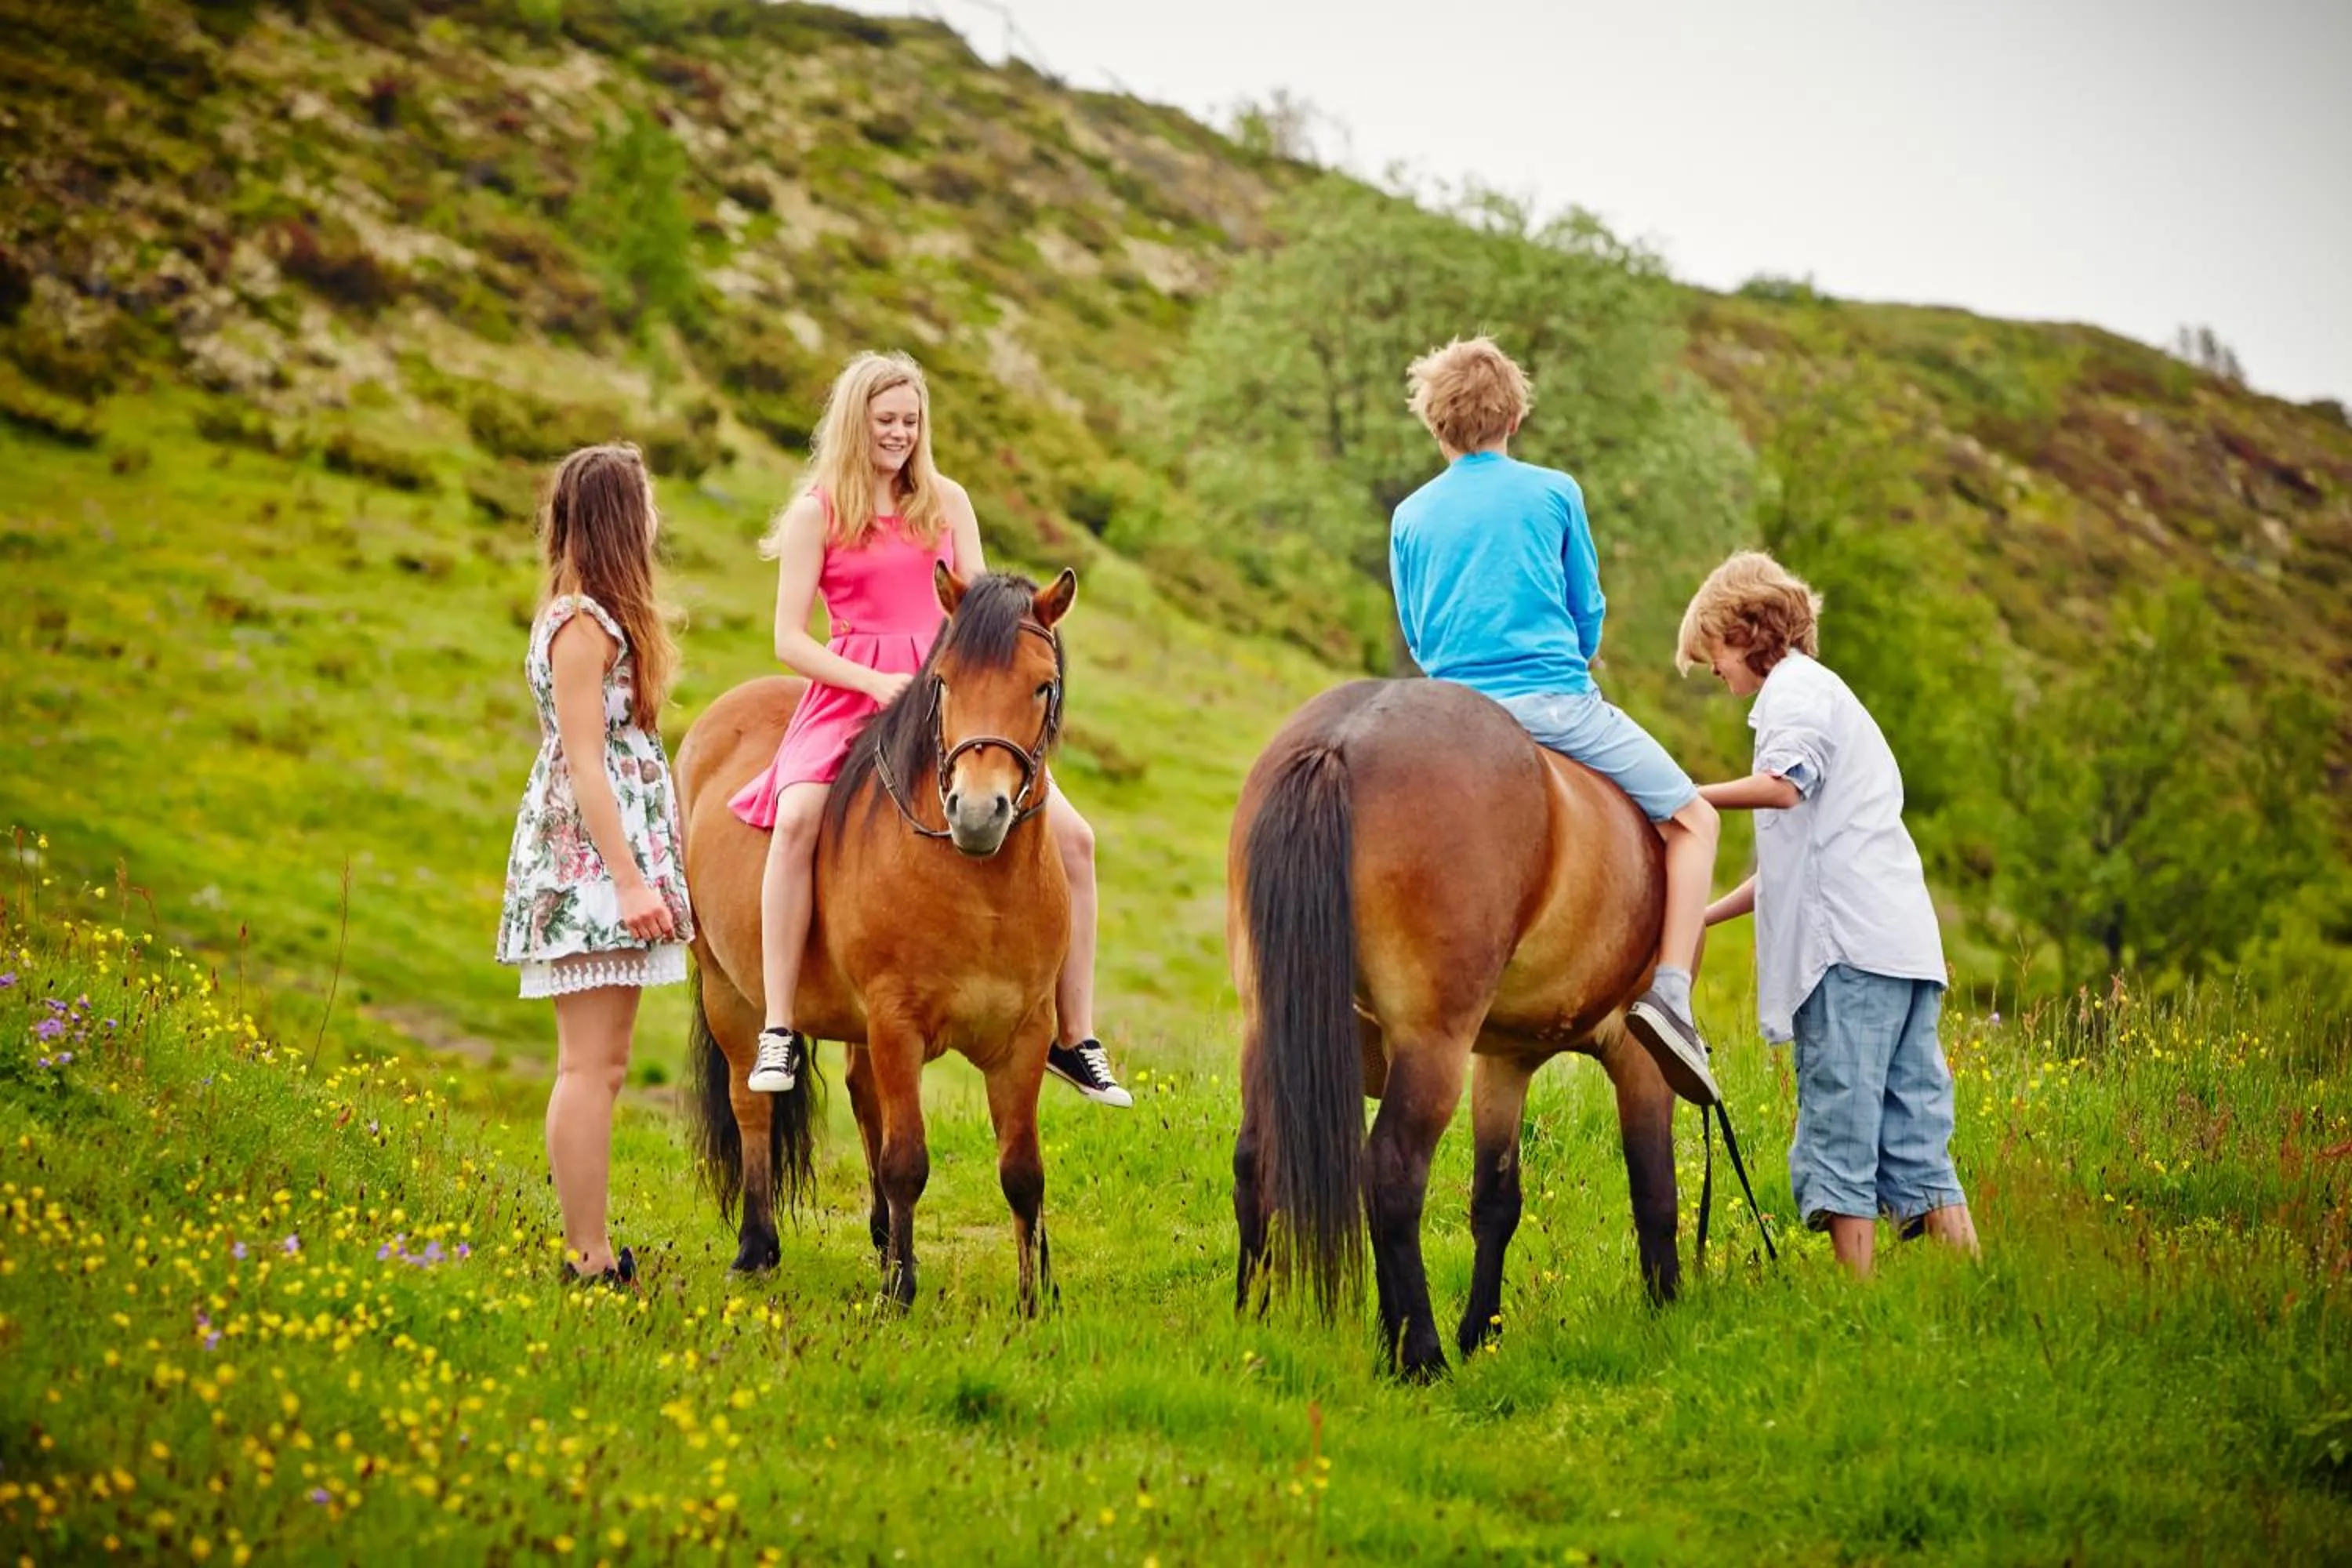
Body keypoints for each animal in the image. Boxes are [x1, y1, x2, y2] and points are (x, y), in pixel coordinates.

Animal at [674, 566, 1076, 1313]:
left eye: (1043, 686)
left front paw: (1036, 1298)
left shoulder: (1025, 1036)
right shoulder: (897, 1024)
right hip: (729, 992)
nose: (977, 813)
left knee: (864, 1097)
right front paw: (898, 1292)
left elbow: (1022, 1170)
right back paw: (756, 1247)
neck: (980, 891)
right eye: (943, 680)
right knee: (753, 1105)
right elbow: (907, 1159)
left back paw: (883, 1237)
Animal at [1228, 677, 1683, 1380]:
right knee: (1391, 1173)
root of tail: (1342, 739)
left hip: (1266, 1027)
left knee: (1257, 1159)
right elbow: (1654, 1187)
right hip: (1431, 1047)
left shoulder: (1504, 1061)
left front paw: (1480, 1333)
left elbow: (1496, 1200)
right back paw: (1421, 1356)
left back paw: (1257, 1322)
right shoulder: (1638, 1054)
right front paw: (1667, 1312)